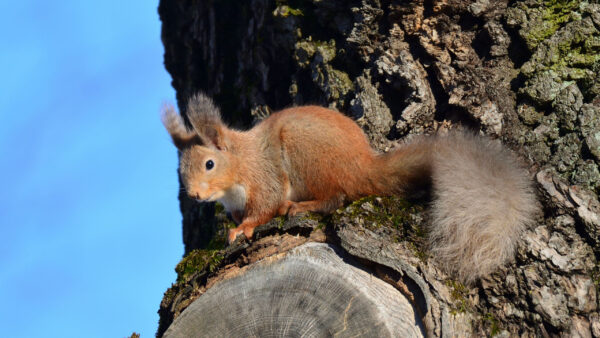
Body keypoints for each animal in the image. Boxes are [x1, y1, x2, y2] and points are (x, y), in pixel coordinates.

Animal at [163, 93, 540, 286]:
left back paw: (301, 206)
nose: (195, 195)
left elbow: (265, 205)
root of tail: (363, 168)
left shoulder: (264, 175)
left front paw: (243, 228)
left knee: (338, 197)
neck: (240, 164)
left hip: (306, 155)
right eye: (179, 171)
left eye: (209, 164)